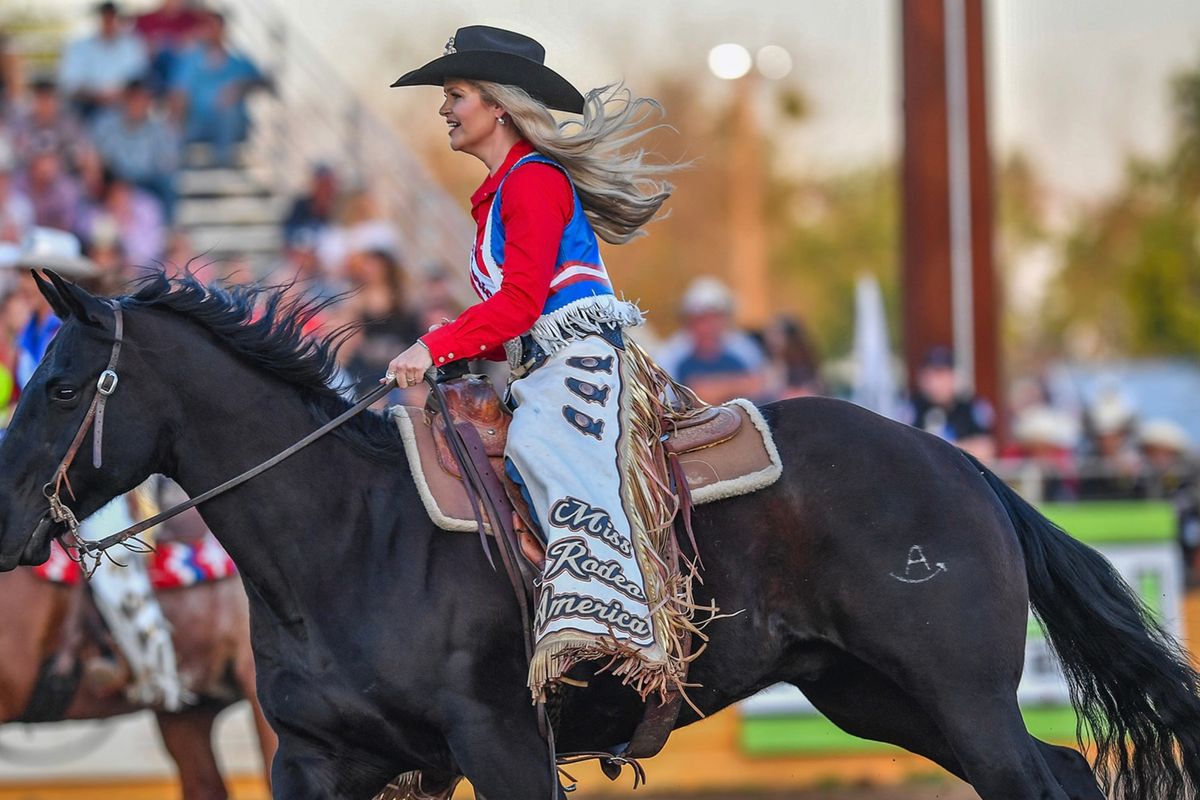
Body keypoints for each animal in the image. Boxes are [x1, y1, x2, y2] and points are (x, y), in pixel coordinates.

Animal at [2, 272, 1200, 796]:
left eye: (58, 385)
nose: (8, 525)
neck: (347, 542)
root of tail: (962, 463)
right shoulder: (322, 759)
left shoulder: (497, 747)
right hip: (875, 696)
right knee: (1061, 773)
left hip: (960, 698)